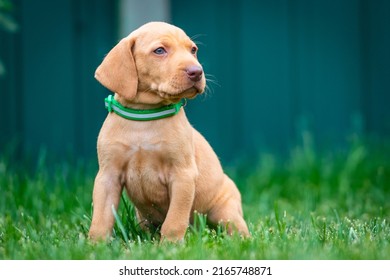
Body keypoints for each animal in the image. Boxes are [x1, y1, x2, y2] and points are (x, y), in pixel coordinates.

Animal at [89, 21, 250, 242]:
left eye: (193, 50)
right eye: (159, 50)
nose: (197, 72)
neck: (144, 116)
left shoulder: (182, 175)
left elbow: (175, 219)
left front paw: (170, 244)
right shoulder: (108, 175)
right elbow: (101, 218)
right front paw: (95, 244)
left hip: (225, 210)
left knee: (237, 229)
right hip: (142, 217)